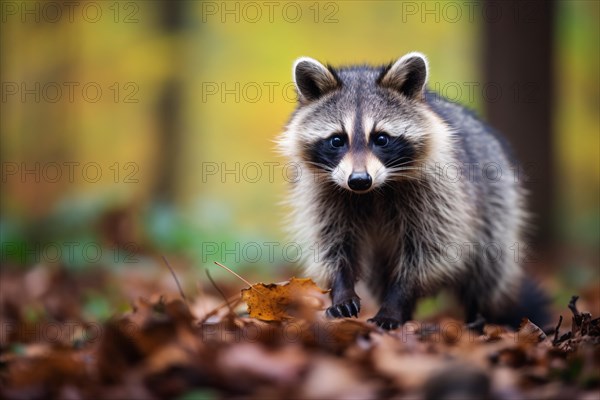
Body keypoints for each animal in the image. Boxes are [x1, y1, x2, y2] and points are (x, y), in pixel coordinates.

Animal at [276, 52, 548, 328]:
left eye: (381, 138)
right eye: (337, 140)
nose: (359, 180)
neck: (373, 192)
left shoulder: (440, 192)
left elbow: (429, 251)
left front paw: (397, 300)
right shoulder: (323, 192)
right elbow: (332, 243)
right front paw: (342, 288)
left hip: (497, 203)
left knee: (487, 270)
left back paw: (478, 316)